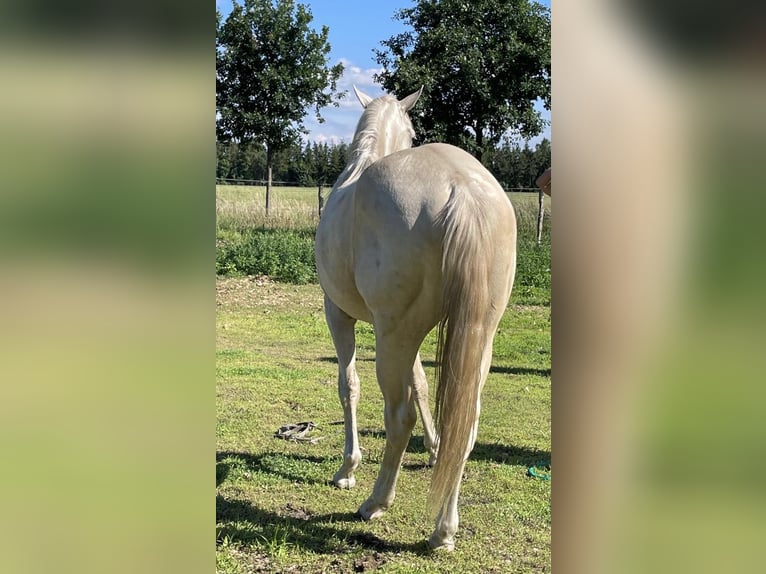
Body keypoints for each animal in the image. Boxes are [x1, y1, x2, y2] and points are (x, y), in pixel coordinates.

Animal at [316, 86, 520, 552]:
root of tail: (462, 188)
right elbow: (424, 386)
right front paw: (433, 448)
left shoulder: (340, 314)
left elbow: (348, 387)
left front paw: (347, 470)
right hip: (473, 336)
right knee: (467, 423)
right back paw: (443, 531)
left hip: (393, 336)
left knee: (398, 417)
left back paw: (375, 502)